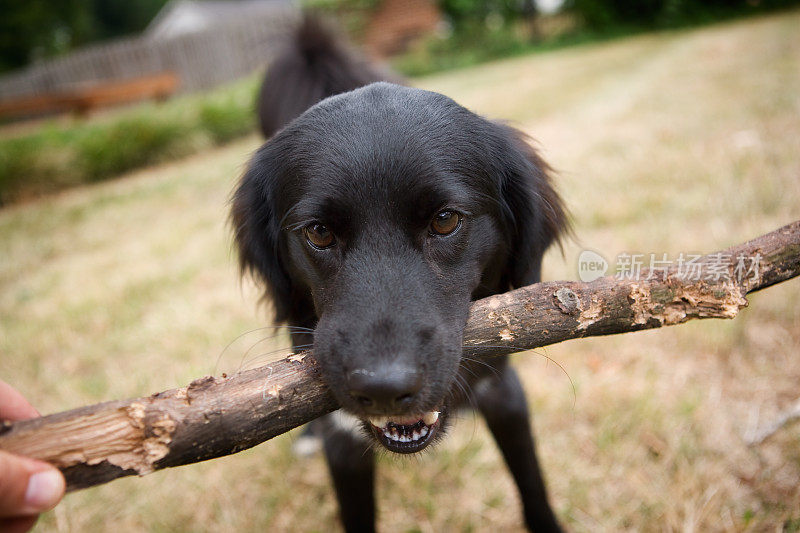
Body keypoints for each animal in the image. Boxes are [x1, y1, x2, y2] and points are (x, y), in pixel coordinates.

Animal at [234, 16, 572, 532]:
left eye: (445, 220)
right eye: (318, 232)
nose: (383, 389)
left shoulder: (504, 394)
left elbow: (532, 487)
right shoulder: (344, 441)